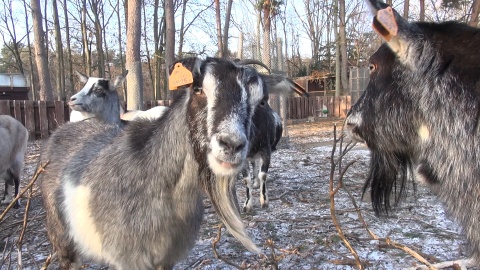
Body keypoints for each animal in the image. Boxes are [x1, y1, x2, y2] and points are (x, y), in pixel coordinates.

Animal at [39, 56, 304, 268]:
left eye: (262, 100)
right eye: (198, 89)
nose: (231, 145)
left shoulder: (167, 257)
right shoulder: (129, 258)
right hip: (61, 238)